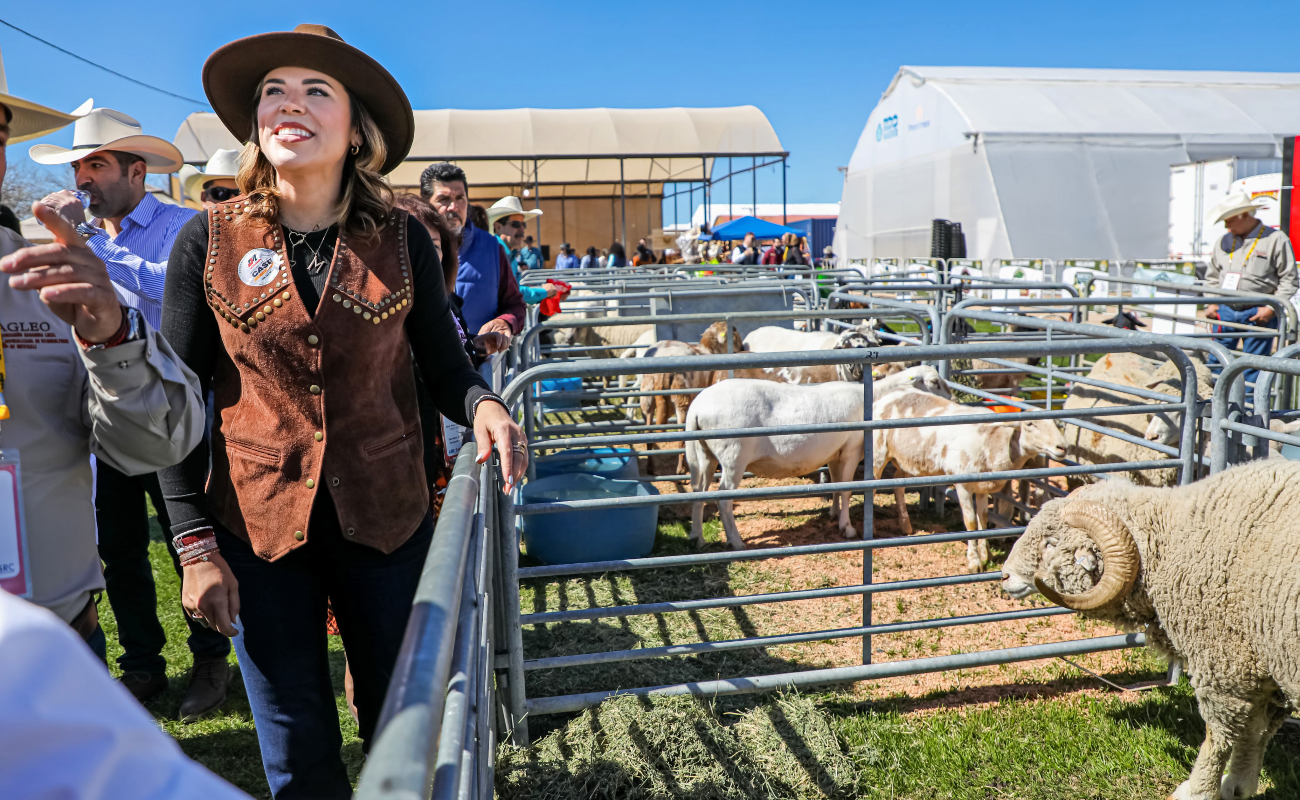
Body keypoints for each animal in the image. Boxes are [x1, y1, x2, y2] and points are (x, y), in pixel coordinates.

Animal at [686, 369, 951, 551]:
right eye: (935, 382)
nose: (952, 400)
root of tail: (697, 406)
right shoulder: (852, 449)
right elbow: (846, 490)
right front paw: (848, 528)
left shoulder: (836, 453)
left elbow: (835, 485)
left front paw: (834, 514)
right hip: (734, 456)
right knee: (723, 499)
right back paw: (737, 542)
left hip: (705, 454)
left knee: (699, 492)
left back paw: (697, 538)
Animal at [873, 390, 1066, 572]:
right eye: (1030, 424)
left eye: (1055, 424)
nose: (1062, 447)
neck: (993, 443)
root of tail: (886, 397)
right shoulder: (963, 485)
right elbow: (971, 521)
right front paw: (974, 562)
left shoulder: (983, 486)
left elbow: (984, 518)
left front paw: (986, 554)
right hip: (878, 454)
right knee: (873, 488)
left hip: (908, 461)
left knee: (897, 485)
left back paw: (906, 526)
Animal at [1003, 457, 1300, 800]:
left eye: (1050, 544)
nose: (1004, 576)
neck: (1173, 546)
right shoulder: (1268, 664)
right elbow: (1257, 732)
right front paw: (1237, 785)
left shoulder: (1225, 661)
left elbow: (1219, 735)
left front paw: (1197, 790)